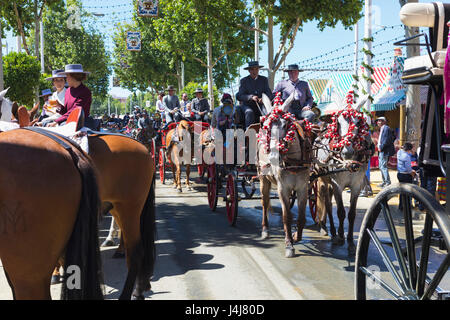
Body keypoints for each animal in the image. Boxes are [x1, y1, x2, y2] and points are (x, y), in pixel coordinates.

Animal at [312, 94, 372, 254]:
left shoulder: (357, 185)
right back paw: (332, 233)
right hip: (323, 180)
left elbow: (351, 214)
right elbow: (340, 211)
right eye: (337, 123)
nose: (347, 151)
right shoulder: (337, 184)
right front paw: (340, 238)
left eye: (358, 123)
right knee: (327, 203)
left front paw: (350, 241)